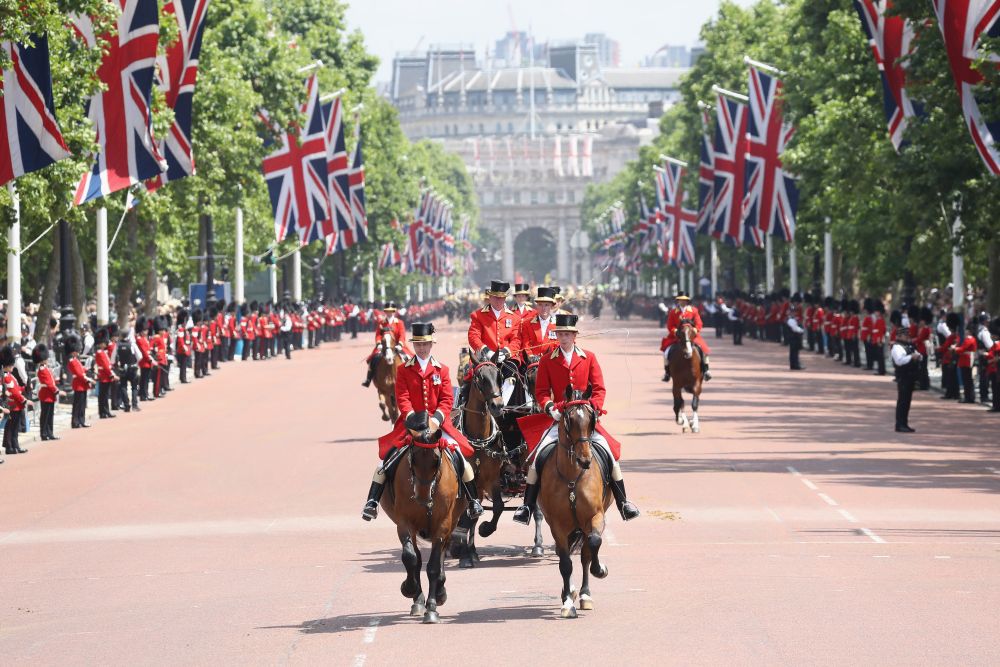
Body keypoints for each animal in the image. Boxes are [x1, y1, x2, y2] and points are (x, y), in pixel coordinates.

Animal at [378, 426, 468, 624]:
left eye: (436, 460)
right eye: (413, 459)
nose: (422, 496)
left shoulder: (443, 525)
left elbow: (434, 565)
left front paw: (432, 608)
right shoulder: (404, 523)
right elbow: (411, 558)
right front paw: (409, 588)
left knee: (440, 556)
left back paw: (439, 593)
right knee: (417, 559)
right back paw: (418, 600)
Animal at [540, 386, 608, 620]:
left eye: (591, 419)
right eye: (569, 420)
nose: (585, 460)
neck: (571, 475)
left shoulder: (595, 516)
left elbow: (593, 544)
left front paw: (599, 569)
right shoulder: (557, 525)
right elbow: (565, 563)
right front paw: (567, 603)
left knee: (586, 552)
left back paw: (585, 594)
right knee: (567, 555)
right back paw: (567, 591)